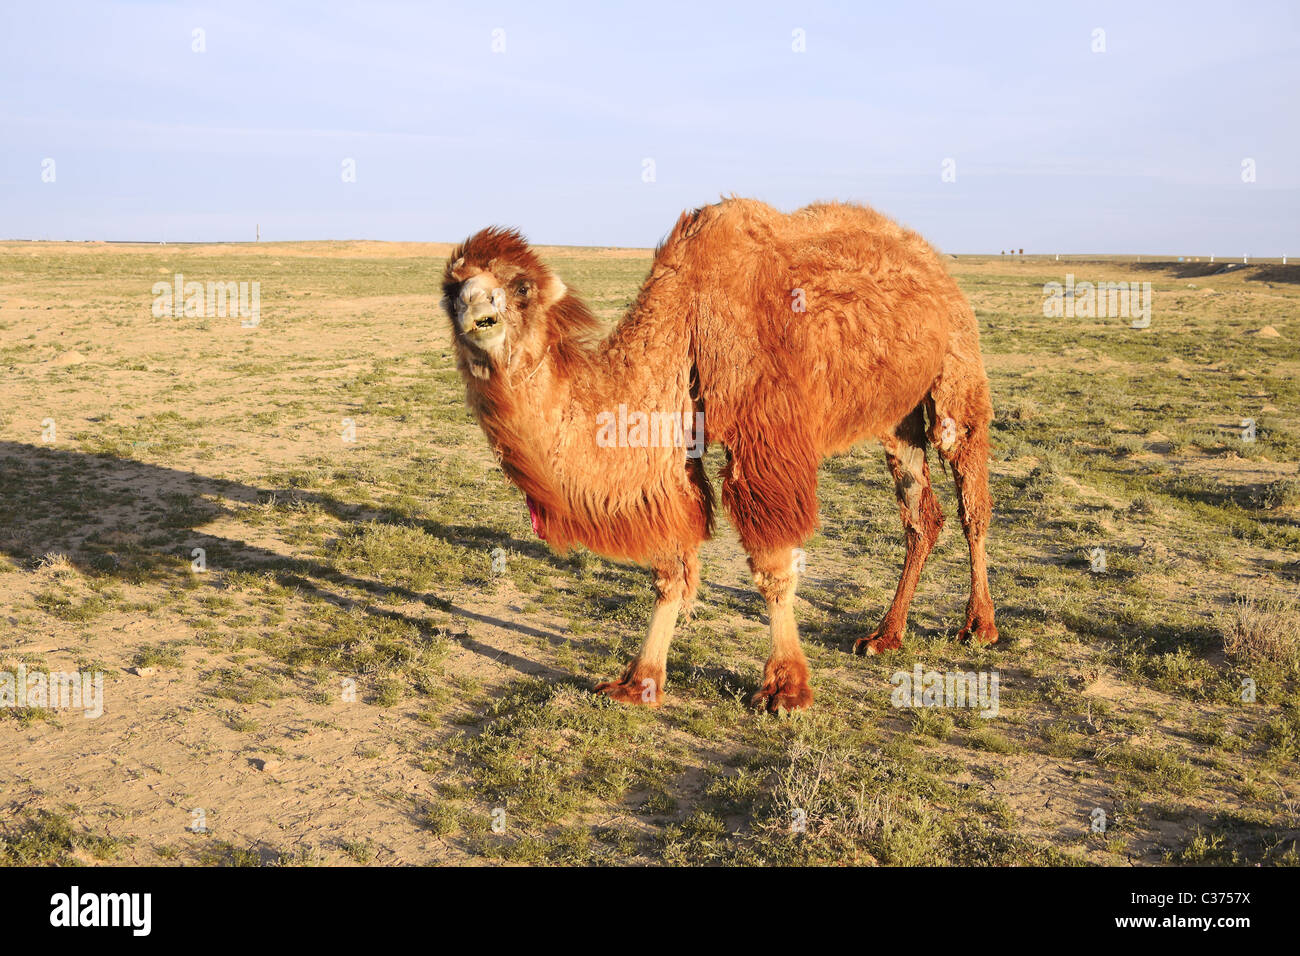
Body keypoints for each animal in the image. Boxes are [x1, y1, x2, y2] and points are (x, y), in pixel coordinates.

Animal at [441, 197, 998, 712]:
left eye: (520, 287)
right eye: (451, 289)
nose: (474, 311)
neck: (682, 311)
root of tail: (933, 263)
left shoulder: (765, 438)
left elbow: (773, 567)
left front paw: (785, 688)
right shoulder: (671, 442)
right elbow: (671, 568)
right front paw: (638, 682)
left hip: (956, 370)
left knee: (971, 498)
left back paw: (979, 625)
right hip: (896, 416)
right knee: (921, 516)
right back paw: (885, 635)